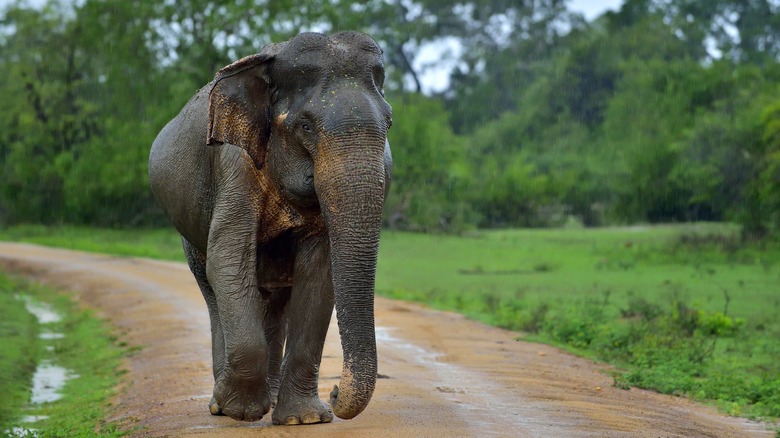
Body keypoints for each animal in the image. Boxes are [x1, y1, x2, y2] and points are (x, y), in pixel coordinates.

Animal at [148, 32, 390, 426]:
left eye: (390, 124)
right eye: (305, 126)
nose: (335, 392)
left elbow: (318, 274)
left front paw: (303, 419)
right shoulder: (234, 163)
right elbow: (228, 259)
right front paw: (241, 411)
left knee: (276, 301)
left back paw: (273, 400)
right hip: (189, 233)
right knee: (211, 285)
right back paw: (220, 404)